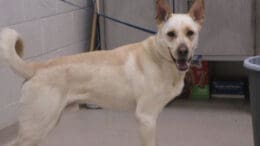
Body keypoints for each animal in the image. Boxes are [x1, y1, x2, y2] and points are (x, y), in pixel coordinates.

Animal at [1, 0, 205, 146]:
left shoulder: (151, 119)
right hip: (35, 128)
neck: (159, 57)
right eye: (171, 34)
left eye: (190, 33)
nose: (183, 51)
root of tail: (36, 67)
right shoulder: (145, 118)